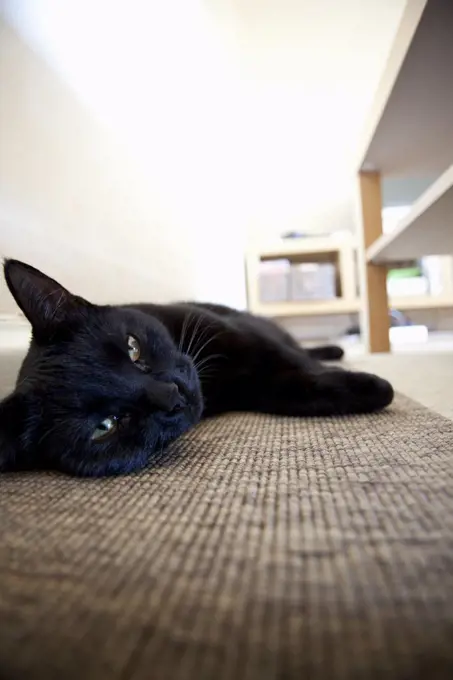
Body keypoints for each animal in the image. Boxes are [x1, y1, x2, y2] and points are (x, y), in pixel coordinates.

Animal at [0, 260, 392, 478]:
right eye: (105, 427)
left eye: (132, 347)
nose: (172, 394)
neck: (218, 384)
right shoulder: (261, 386)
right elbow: (294, 390)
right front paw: (369, 389)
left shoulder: (238, 333)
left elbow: (289, 361)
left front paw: (374, 385)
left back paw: (334, 350)